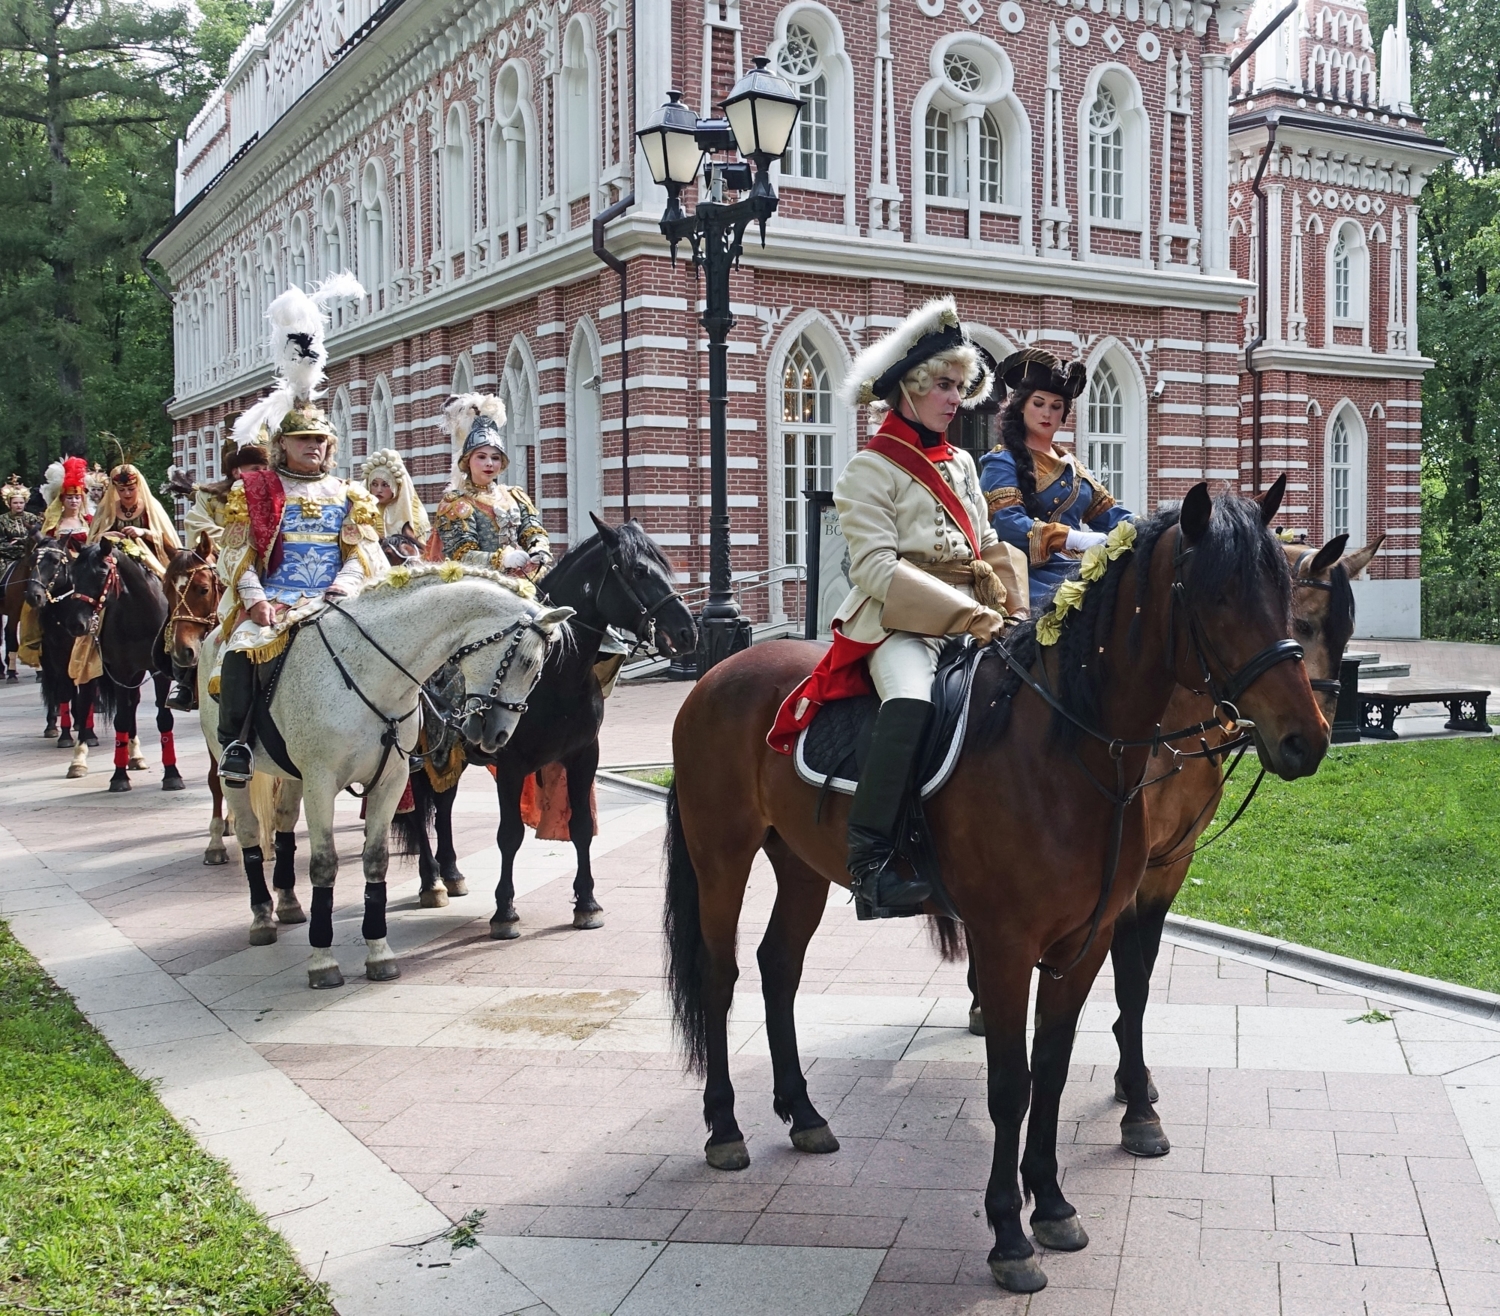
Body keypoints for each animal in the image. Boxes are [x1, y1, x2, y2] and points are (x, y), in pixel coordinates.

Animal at [54, 543, 182, 792]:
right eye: (73, 575)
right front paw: (119, 777)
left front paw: (172, 774)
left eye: (101, 574)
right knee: (86, 703)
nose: (76, 624)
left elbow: (163, 718)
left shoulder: (159, 673)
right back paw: (78, 761)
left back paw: (136, 756)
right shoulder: (121, 671)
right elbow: (120, 719)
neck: (140, 615)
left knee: (133, 704)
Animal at [202, 564, 570, 984]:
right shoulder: (320, 783)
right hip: (232, 767)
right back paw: (262, 916)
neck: (370, 674)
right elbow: (324, 865)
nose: (496, 735)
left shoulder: (391, 780)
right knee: (249, 832)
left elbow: (376, 860)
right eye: (526, 663)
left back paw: (289, 902)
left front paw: (379, 952)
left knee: (283, 826)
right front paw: (323, 959)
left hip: (293, 776)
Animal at [399, 513, 702, 936]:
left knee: (443, 806)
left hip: (449, 756)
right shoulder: (511, 764)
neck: (555, 675)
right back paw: (431, 882)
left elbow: (581, 827)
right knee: (419, 809)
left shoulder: (584, 756)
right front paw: (505, 911)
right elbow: (509, 836)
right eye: (639, 571)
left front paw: (587, 904)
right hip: (419, 753)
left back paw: (453, 874)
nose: (689, 632)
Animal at [663, 477, 1332, 1290]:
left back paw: (805, 1114)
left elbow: (1053, 1067)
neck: (1069, 751)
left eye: (1285, 593)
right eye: (1219, 596)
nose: (1307, 737)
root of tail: (715, 676)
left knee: (777, 967)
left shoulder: (1085, 942)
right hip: (721, 855)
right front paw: (1010, 1233)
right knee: (720, 974)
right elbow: (1010, 1082)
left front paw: (1052, 1203)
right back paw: (725, 1127)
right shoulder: (1007, 946)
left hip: (798, 864)